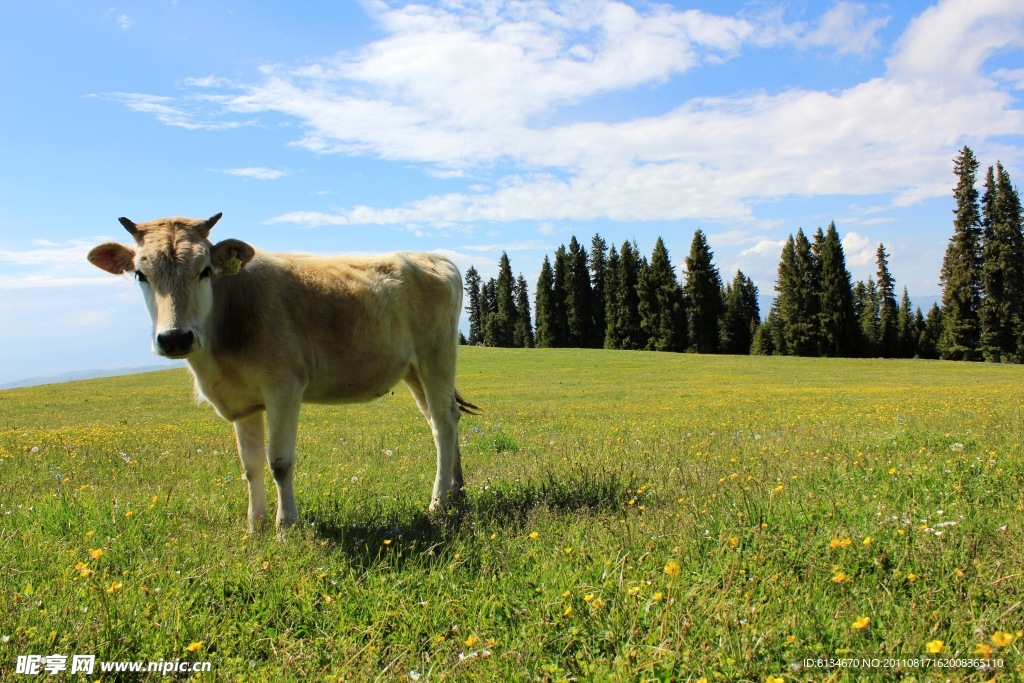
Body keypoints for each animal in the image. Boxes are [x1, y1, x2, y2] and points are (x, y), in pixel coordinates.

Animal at [86, 211, 477, 528]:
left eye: (205, 270)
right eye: (141, 274)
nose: (175, 337)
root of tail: (434, 256)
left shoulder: (284, 388)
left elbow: (279, 461)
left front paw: (286, 524)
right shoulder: (242, 402)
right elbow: (251, 465)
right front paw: (254, 524)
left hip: (436, 356)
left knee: (443, 423)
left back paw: (438, 502)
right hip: (413, 369)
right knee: (443, 418)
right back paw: (456, 489)